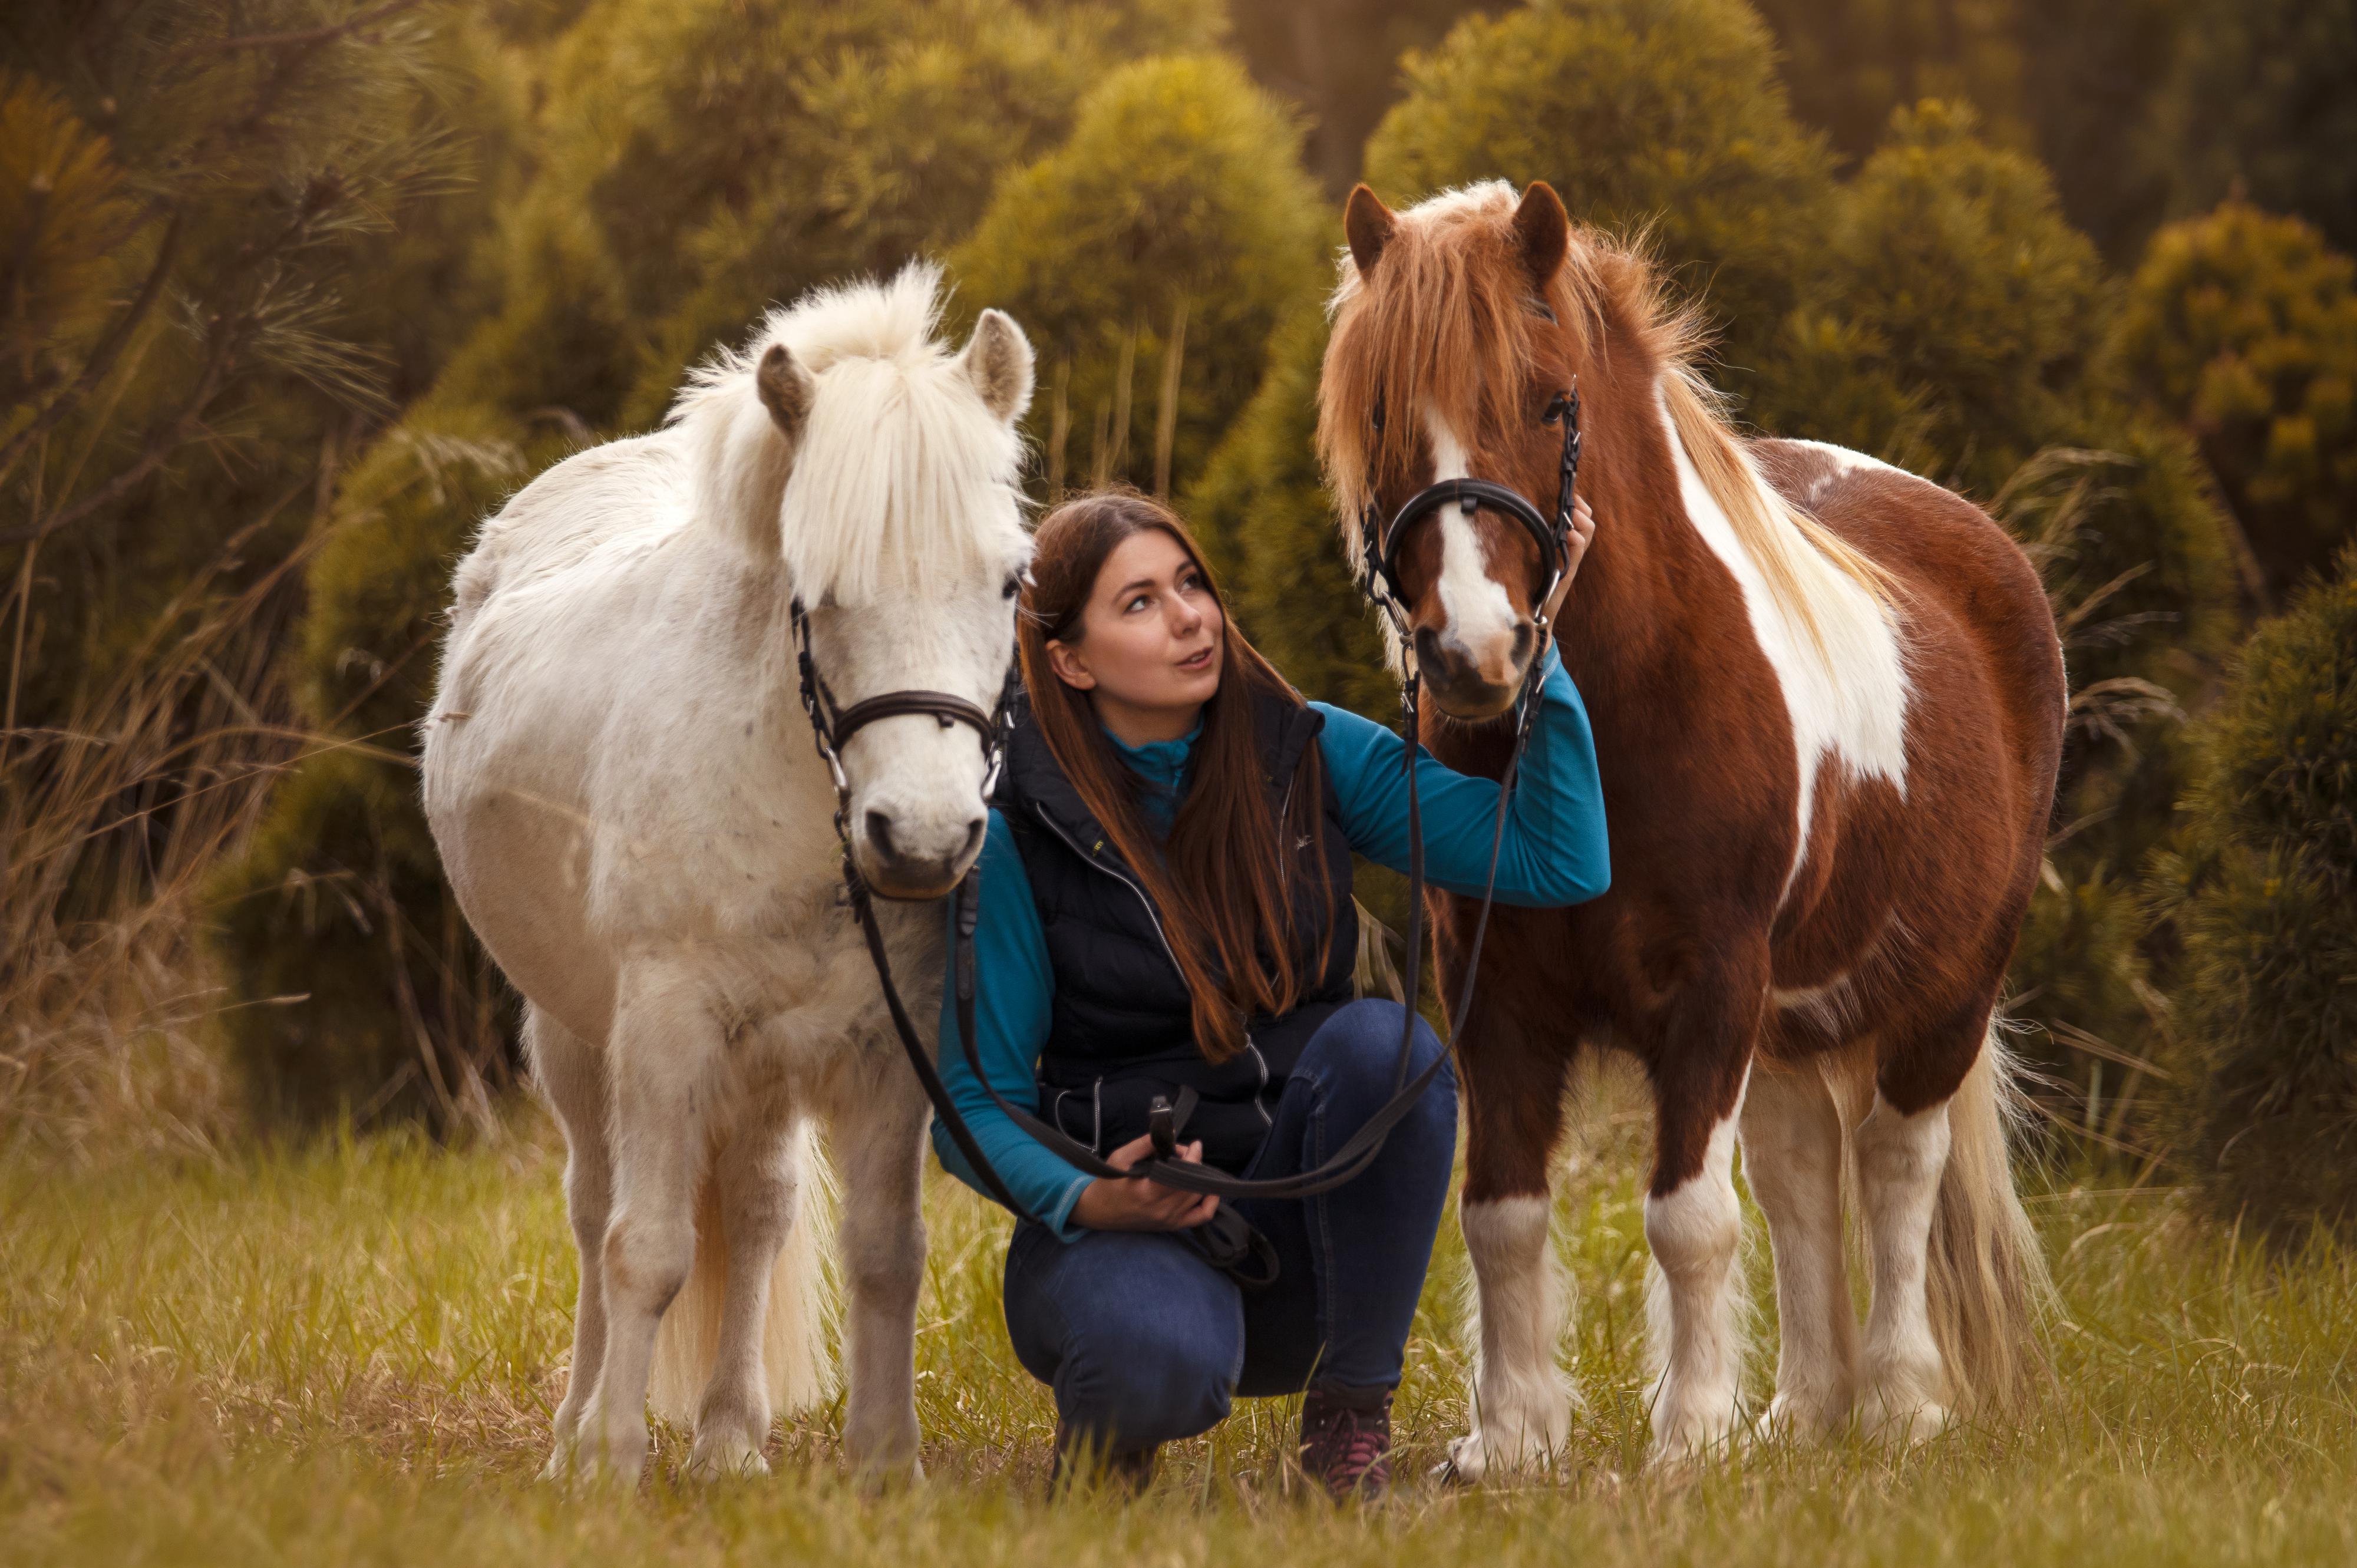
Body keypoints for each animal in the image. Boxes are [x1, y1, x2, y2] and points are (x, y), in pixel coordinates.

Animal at [421, 264, 1035, 1484]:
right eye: (822, 590)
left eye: (1008, 583)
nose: (923, 838)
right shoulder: (665, 1030)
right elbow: (646, 1248)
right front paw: (614, 1464)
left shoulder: (889, 1049)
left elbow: (885, 1250)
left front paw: (886, 1466)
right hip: (576, 1039)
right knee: (594, 1211)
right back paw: (576, 1437)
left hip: (760, 1073)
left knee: (756, 1212)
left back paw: (730, 1441)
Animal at [1316, 181, 2063, 1472]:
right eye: (1380, 412)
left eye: (1549, 400)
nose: (1473, 654)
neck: (1621, 715)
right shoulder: (1496, 992)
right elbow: (1501, 1216)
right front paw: (1513, 1439)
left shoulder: (1712, 983)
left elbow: (1689, 1219)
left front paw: (1689, 1441)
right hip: (1791, 1021)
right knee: (1800, 1171)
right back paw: (1801, 1411)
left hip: (1944, 992)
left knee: (1894, 1168)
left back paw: (1897, 1404)